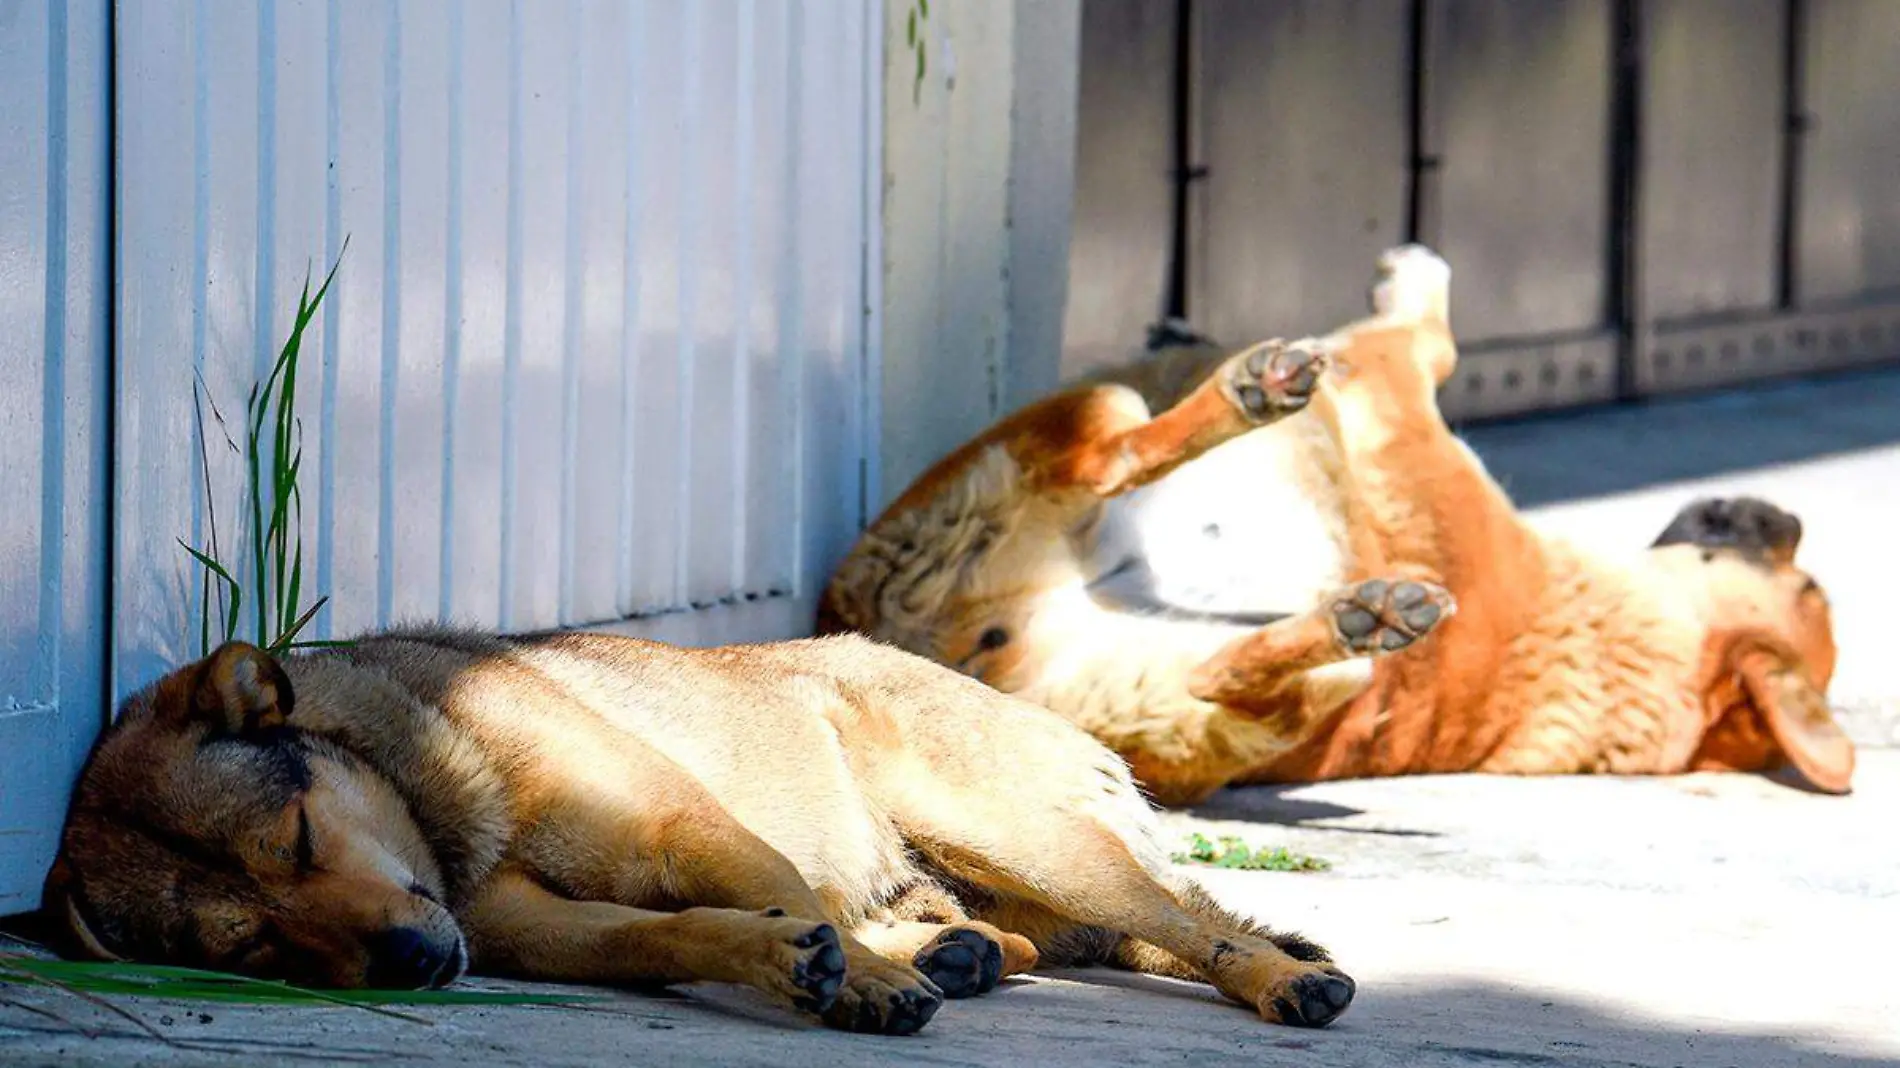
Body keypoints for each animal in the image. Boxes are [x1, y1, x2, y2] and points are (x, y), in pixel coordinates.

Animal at [820, 245, 1854, 801]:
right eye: (1807, 577)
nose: (1784, 511)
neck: (1598, 634)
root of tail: (942, 649)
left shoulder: (1396, 396)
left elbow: (1422, 338)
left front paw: (1407, 283)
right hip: (1229, 706)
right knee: (1226, 668)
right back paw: (1362, 609)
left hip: (1065, 453)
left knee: (1116, 464)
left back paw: (1254, 411)